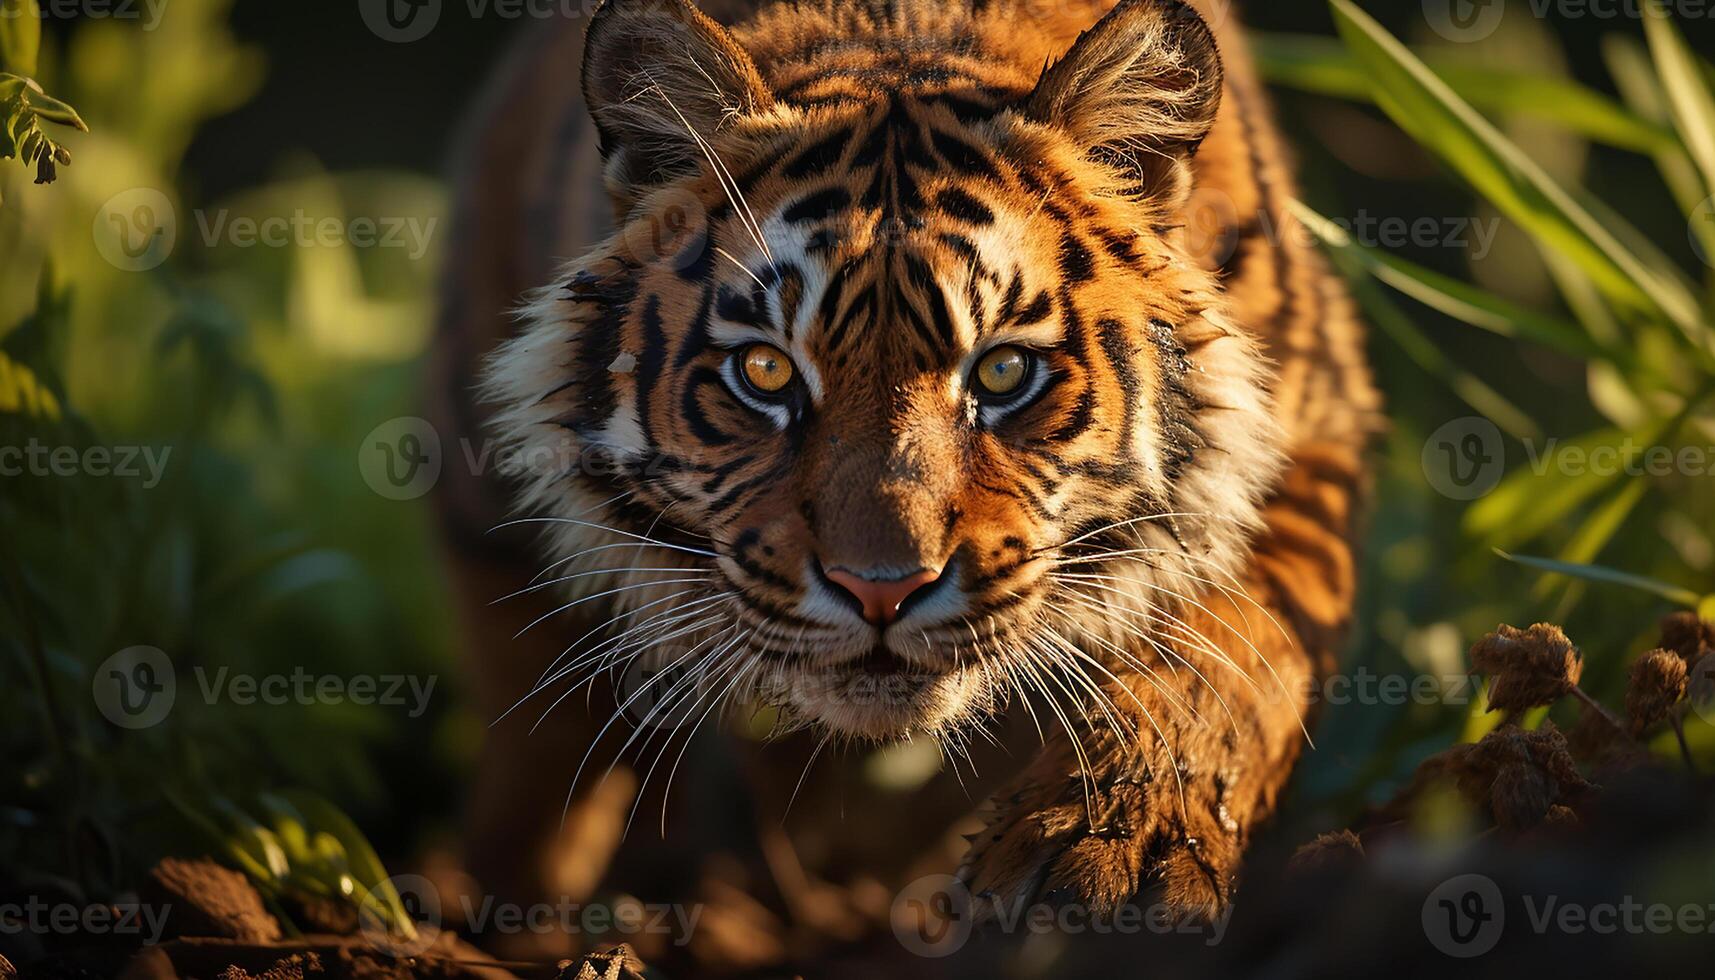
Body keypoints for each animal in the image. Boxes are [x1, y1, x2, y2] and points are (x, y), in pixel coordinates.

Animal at [428, 0, 1378, 967]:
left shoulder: (1307, 436)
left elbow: (1231, 656)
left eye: (1002, 372)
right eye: (765, 372)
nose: (879, 591)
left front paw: (1118, 858)